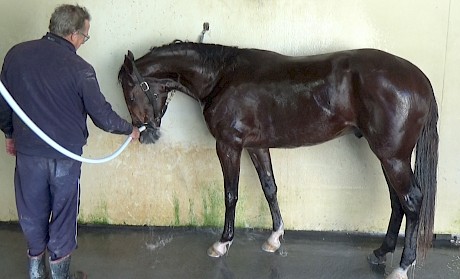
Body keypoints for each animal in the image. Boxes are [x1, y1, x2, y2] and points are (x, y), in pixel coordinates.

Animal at [117, 41, 438, 279]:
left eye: (130, 93)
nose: (144, 135)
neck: (221, 76)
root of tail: (419, 78)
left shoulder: (228, 145)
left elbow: (230, 194)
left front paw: (223, 242)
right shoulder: (257, 147)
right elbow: (269, 187)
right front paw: (274, 238)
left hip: (392, 157)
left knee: (411, 201)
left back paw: (402, 266)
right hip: (387, 156)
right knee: (397, 202)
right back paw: (381, 252)